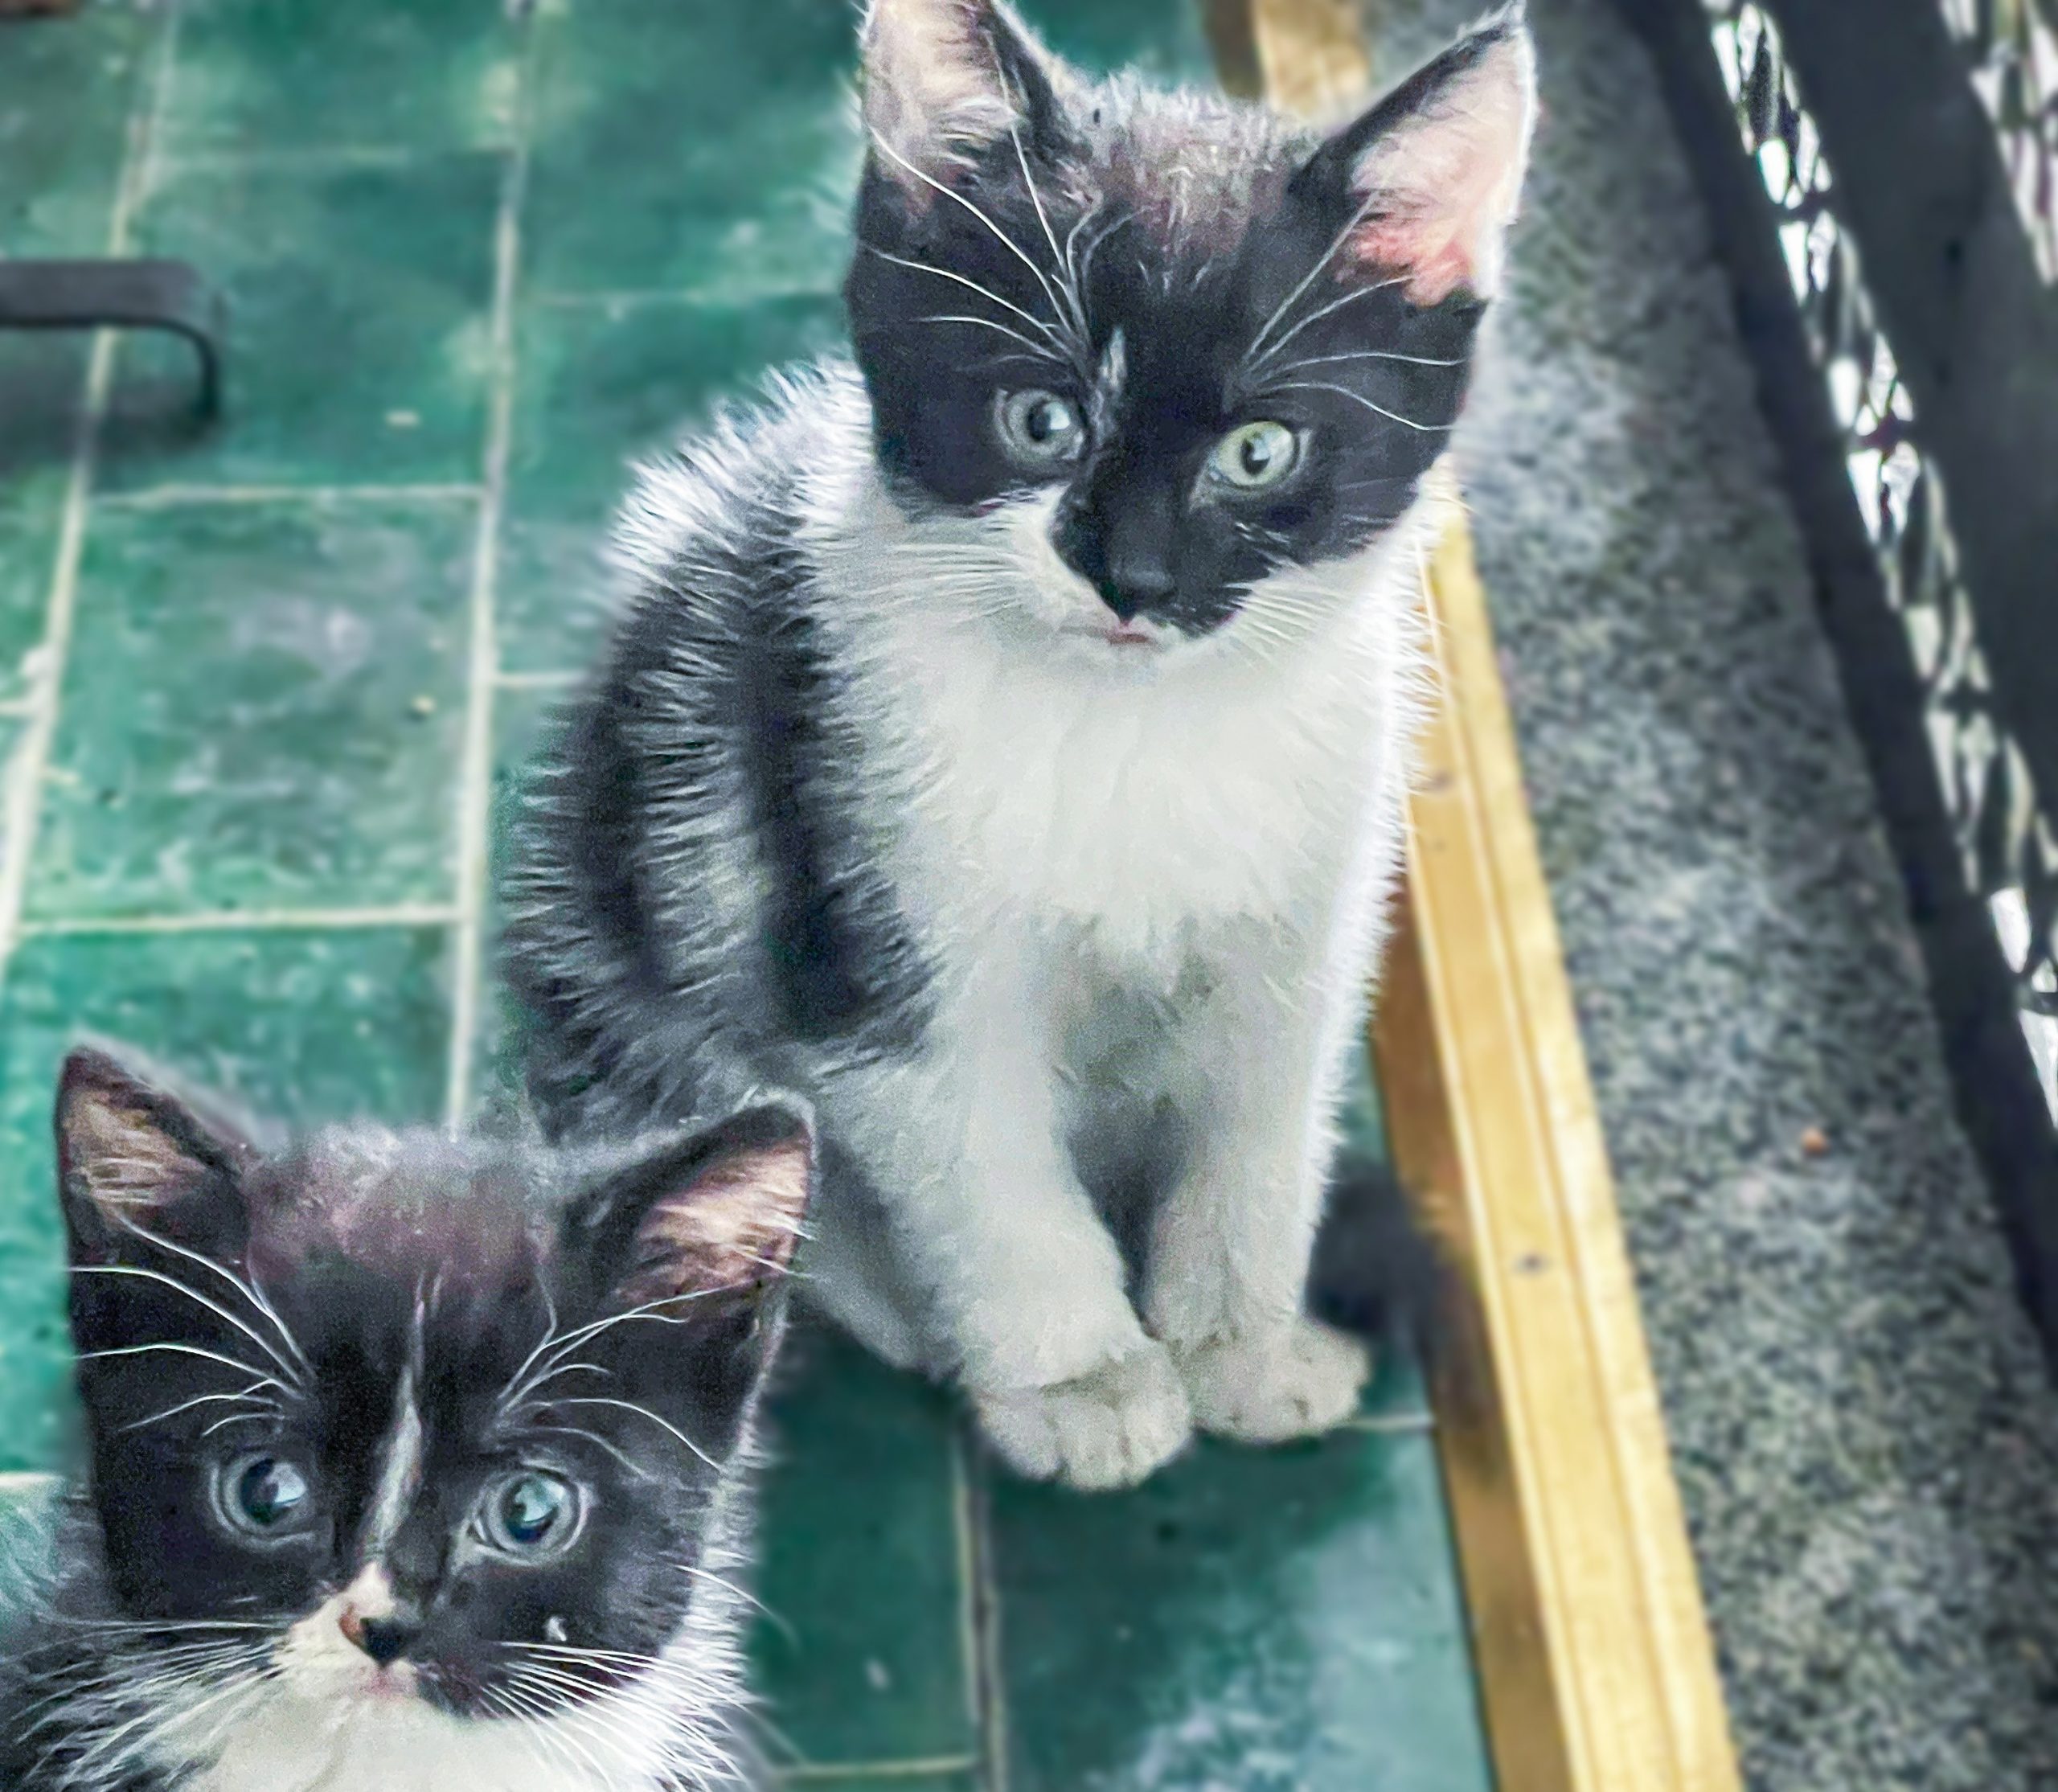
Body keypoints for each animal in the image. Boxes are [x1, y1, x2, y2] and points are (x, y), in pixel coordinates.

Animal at [506, 0, 1539, 1498]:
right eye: (1042, 419)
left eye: (1261, 450)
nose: (1134, 577)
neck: (1138, 733)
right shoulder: (867, 932)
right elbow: (990, 1178)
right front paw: (1082, 1378)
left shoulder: (1311, 912)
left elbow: (1262, 1129)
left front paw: (1243, 1344)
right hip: (624, 951)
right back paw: (878, 1292)